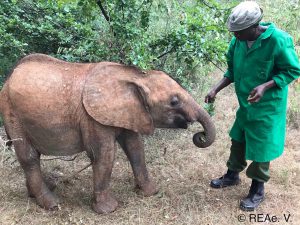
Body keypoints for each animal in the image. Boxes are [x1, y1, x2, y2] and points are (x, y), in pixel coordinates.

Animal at [0, 53, 216, 214]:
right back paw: (51, 203)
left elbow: (135, 147)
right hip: (10, 111)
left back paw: (39, 193)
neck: (136, 76)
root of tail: (11, 75)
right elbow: (104, 155)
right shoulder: (91, 118)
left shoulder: (129, 111)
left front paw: (150, 192)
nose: (199, 136)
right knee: (28, 156)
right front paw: (108, 210)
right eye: (174, 102)